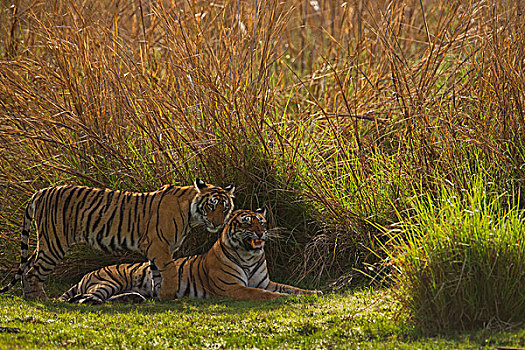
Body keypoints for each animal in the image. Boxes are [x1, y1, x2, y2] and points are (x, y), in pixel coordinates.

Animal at [0, 179, 233, 300]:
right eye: (211, 205)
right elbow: (170, 271)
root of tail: (39, 192)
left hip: (45, 241)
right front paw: (168, 295)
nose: (218, 223)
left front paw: (159, 297)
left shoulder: (157, 251)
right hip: (54, 242)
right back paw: (41, 299)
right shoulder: (159, 247)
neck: (192, 214)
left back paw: (28, 296)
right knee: (33, 271)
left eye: (225, 207)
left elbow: (157, 275)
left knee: (27, 266)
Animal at [57, 208, 320, 304]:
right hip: (107, 282)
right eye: (247, 222)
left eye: (262, 222)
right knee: (86, 298)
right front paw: (281, 299)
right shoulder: (233, 288)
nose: (261, 232)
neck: (249, 256)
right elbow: (261, 294)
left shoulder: (267, 281)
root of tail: (87, 274)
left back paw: (134, 298)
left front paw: (314, 293)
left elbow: (292, 287)